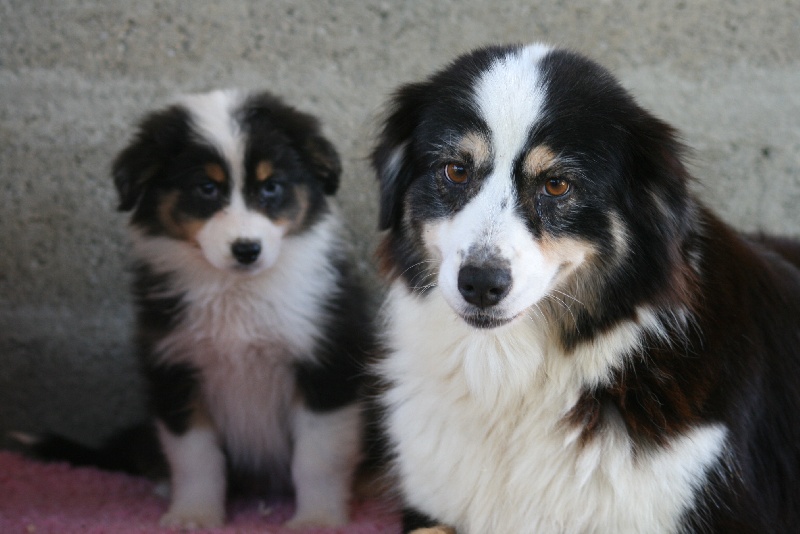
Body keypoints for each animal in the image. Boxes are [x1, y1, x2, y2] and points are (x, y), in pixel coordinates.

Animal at [111, 89, 374, 532]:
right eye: (205, 188)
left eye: (271, 187)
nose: (247, 249)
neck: (238, 292)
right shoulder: (176, 370)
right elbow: (194, 456)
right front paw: (194, 515)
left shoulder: (327, 365)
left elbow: (319, 457)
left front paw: (318, 519)